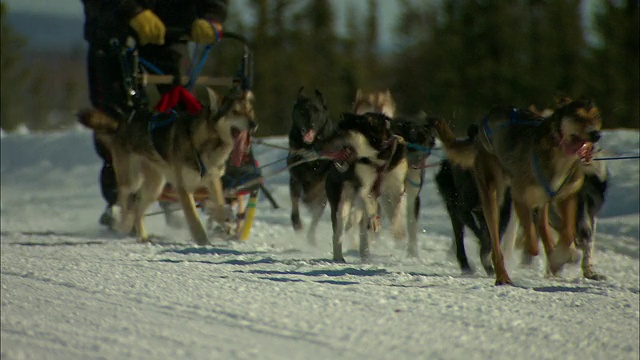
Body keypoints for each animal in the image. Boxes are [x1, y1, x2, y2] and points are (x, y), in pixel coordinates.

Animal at [322, 112, 408, 262]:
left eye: (340, 132)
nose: (320, 144)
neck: (378, 157)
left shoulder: (395, 189)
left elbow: (396, 210)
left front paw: (399, 231)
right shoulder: (364, 187)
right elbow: (366, 198)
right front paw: (374, 219)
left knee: (362, 230)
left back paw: (365, 255)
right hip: (341, 204)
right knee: (339, 232)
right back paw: (339, 257)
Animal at [432, 97, 604, 284]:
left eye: (596, 117)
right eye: (578, 117)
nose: (596, 134)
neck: (559, 155)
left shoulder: (565, 198)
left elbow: (567, 232)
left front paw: (563, 254)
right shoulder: (520, 198)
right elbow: (532, 242)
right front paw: (552, 255)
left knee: (544, 227)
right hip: (491, 200)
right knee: (495, 245)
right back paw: (502, 275)